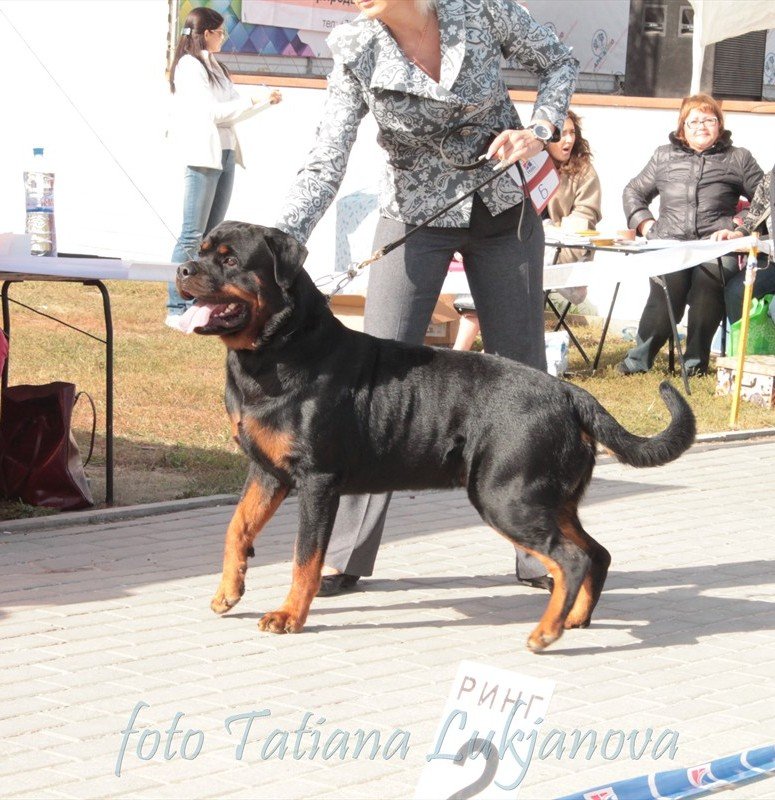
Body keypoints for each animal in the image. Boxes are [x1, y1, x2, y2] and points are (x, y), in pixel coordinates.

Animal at [177, 219, 696, 648]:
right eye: (201, 250)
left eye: (230, 260)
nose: (182, 269)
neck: (280, 352)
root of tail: (569, 393)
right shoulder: (267, 471)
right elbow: (237, 527)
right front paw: (229, 591)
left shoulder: (316, 480)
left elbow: (305, 557)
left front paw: (288, 615)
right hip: (550, 497)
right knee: (596, 554)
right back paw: (574, 619)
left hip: (506, 496)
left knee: (571, 558)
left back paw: (545, 632)